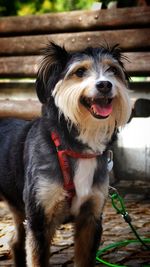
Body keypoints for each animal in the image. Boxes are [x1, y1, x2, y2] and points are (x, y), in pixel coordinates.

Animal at [0, 43, 131, 266]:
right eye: (80, 72)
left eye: (112, 70)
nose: (105, 85)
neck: (74, 148)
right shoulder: (39, 220)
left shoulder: (91, 219)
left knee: (17, 242)